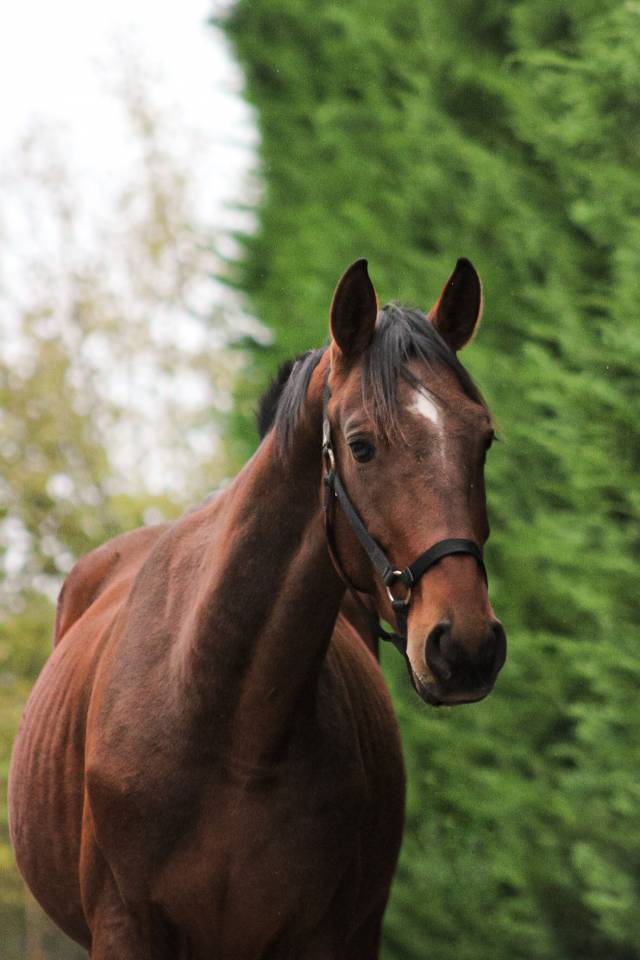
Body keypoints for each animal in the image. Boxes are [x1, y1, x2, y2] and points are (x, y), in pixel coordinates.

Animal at [9, 258, 506, 959]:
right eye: (361, 445)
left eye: (483, 439)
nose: (465, 646)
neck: (233, 727)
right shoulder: (124, 929)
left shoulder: (323, 936)